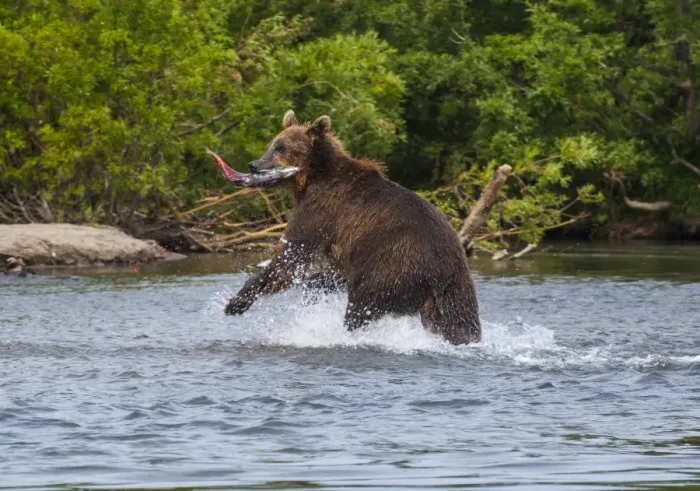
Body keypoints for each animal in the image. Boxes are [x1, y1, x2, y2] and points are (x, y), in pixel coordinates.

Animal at [222, 110, 481, 345]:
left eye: (281, 147)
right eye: (271, 145)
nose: (254, 165)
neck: (311, 178)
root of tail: (441, 270)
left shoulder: (321, 211)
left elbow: (290, 257)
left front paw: (236, 303)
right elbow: (320, 275)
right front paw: (312, 290)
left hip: (393, 263)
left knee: (361, 306)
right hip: (453, 289)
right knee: (457, 321)